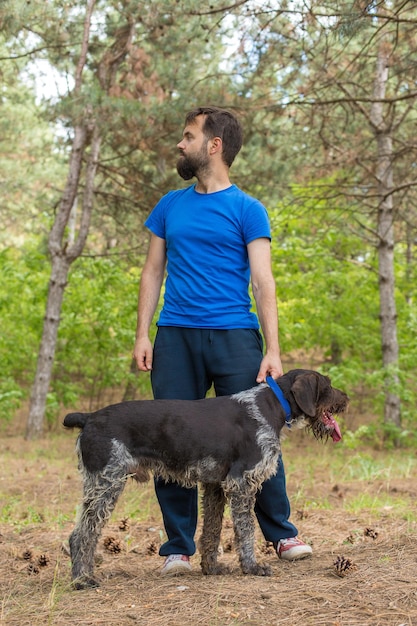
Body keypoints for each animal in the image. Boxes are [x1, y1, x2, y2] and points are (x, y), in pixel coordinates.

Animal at [62, 366, 348, 584]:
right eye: (328, 385)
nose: (346, 399)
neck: (271, 406)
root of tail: (89, 417)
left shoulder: (215, 485)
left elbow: (212, 530)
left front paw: (211, 568)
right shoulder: (241, 483)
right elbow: (245, 531)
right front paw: (252, 567)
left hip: (99, 484)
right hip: (106, 483)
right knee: (81, 535)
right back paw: (82, 580)